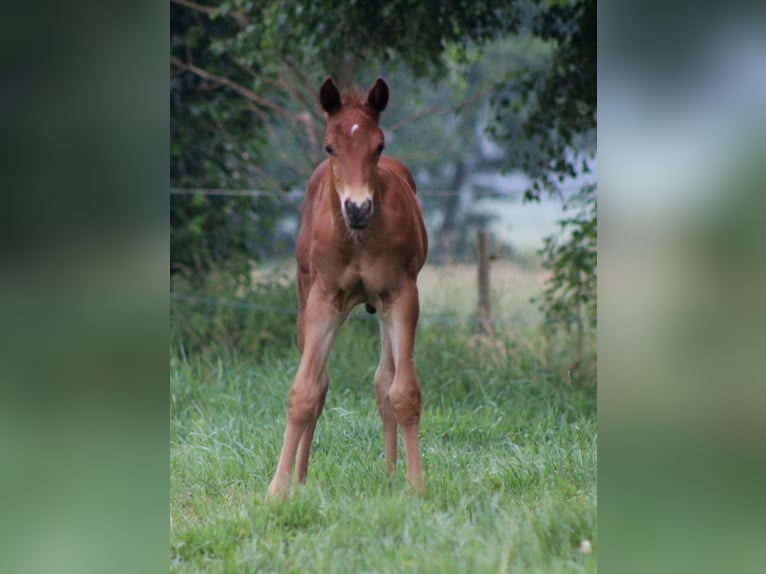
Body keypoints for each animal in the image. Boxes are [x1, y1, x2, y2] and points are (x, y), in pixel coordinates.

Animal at [266, 76, 428, 498]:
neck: (358, 239)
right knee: (321, 382)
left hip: (383, 307)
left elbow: (402, 392)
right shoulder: (325, 300)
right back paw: (300, 477)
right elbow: (304, 392)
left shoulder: (402, 296)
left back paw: (390, 473)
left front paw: (415, 486)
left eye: (379, 145)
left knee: (383, 380)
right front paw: (277, 489)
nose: (358, 208)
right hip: (305, 297)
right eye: (329, 147)